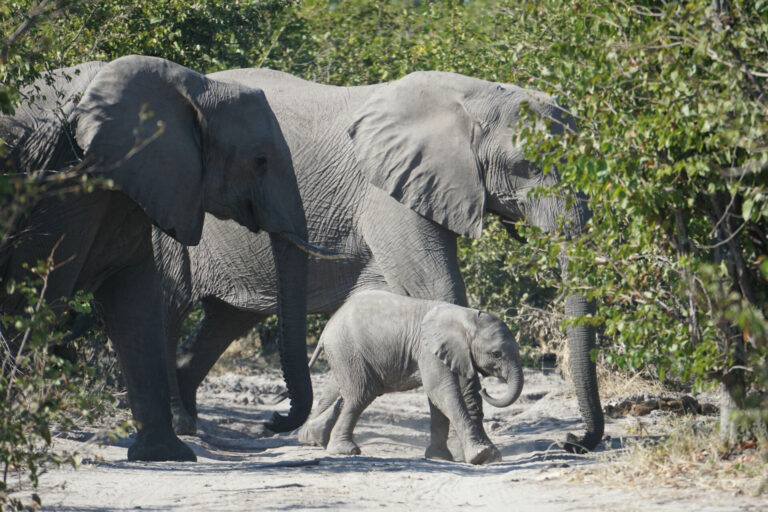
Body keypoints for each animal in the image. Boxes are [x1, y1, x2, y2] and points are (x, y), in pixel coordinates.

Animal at [0, 55, 318, 460]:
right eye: (260, 160)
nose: (273, 420)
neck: (194, 87)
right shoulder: (67, 176)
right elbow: (36, 291)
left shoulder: (135, 179)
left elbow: (135, 298)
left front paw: (166, 453)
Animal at [296, 292, 524, 464]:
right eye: (496, 354)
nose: (486, 389)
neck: (465, 317)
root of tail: (327, 329)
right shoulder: (428, 349)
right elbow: (442, 390)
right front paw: (482, 456)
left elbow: (437, 398)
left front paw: (439, 457)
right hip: (347, 350)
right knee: (361, 394)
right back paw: (344, 450)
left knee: (345, 390)